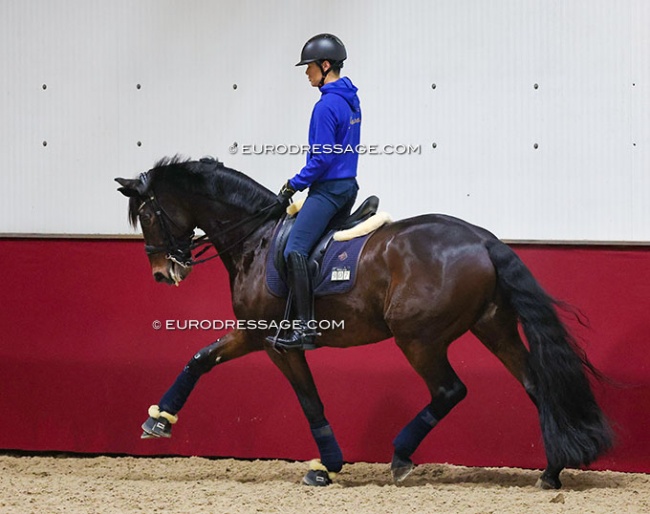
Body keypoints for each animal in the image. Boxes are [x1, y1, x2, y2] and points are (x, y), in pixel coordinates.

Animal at [115, 156, 608, 488]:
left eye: (147, 215)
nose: (163, 273)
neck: (256, 237)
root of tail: (483, 240)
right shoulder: (255, 334)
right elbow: (201, 358)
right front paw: (159, 421)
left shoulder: (275, 342)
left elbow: (310, 401)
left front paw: (326, 467)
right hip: (494, 329)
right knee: (537, 386)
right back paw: (551, 472)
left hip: (418, 338)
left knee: (449, 390)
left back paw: (401, 456)